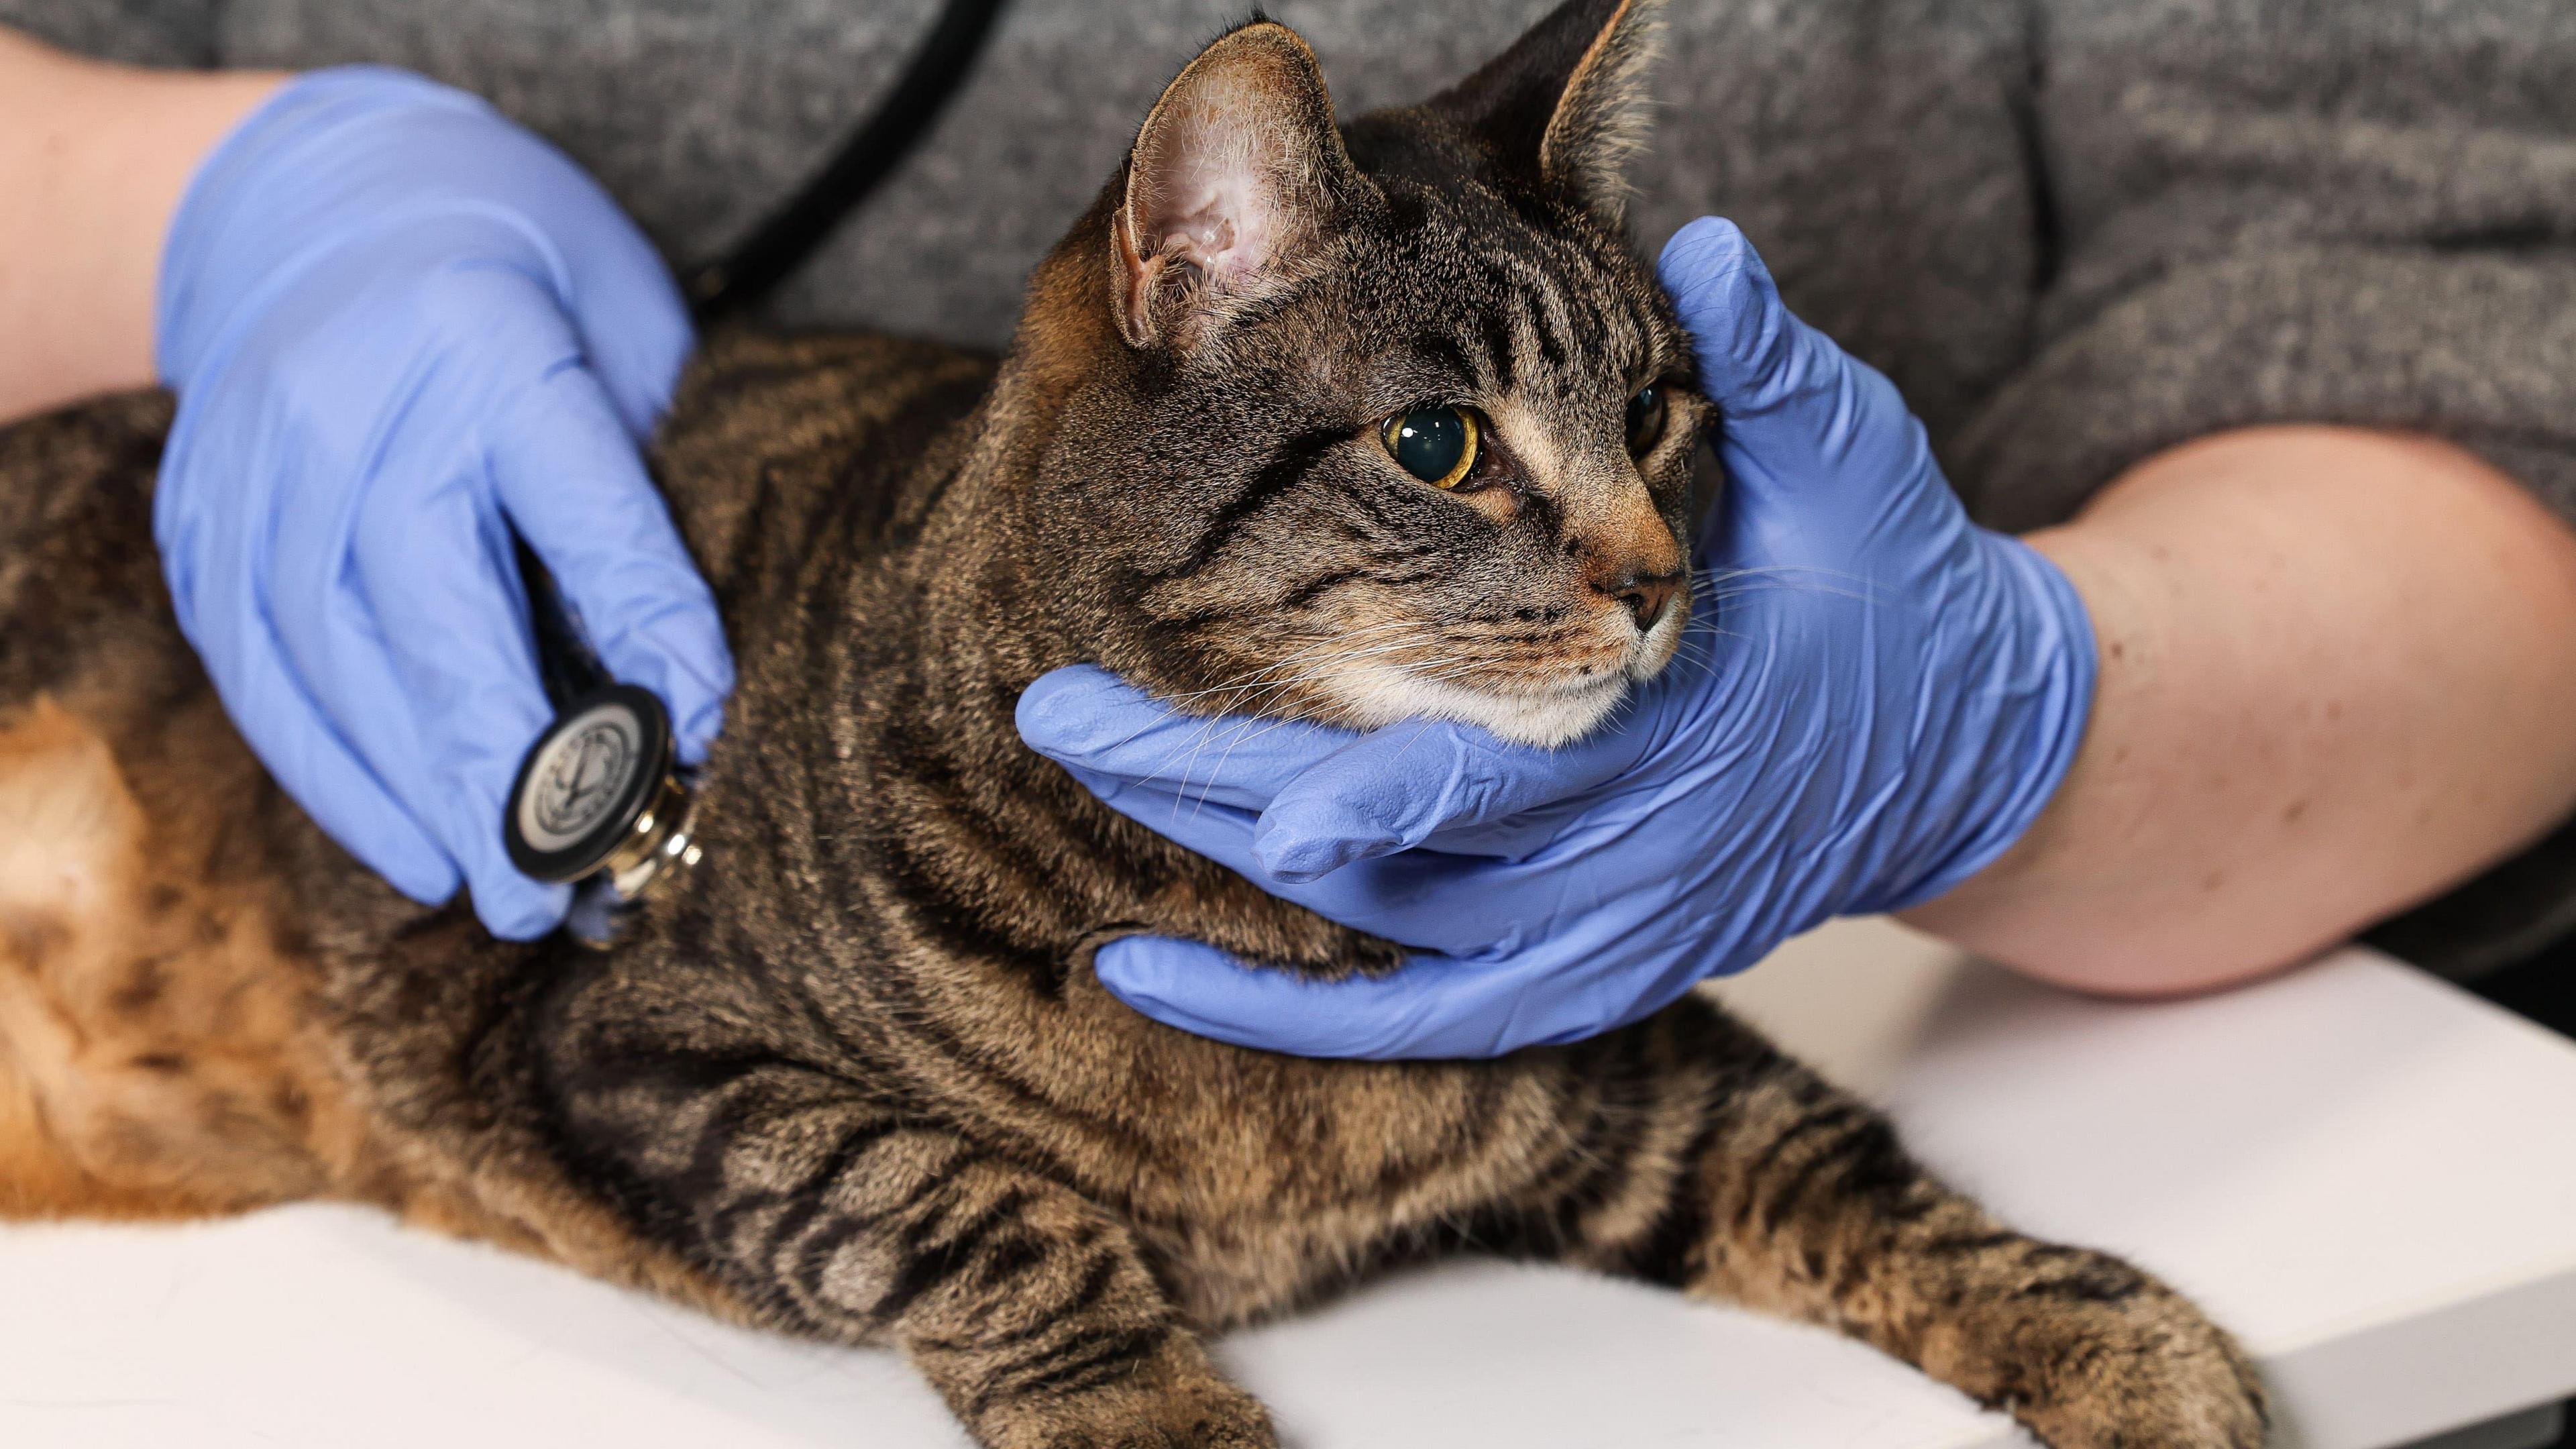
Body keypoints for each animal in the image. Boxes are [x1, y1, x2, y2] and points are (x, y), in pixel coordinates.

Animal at [0, 5, 2256, 1433]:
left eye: (1658, 416)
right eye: (1437, 446)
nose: (1657, 581)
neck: (1280, 929)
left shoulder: (1631, 1062)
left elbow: (1853, 1168)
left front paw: (2118, 1343)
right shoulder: (641, 1042)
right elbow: (976, 1214)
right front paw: (1154, 1419)